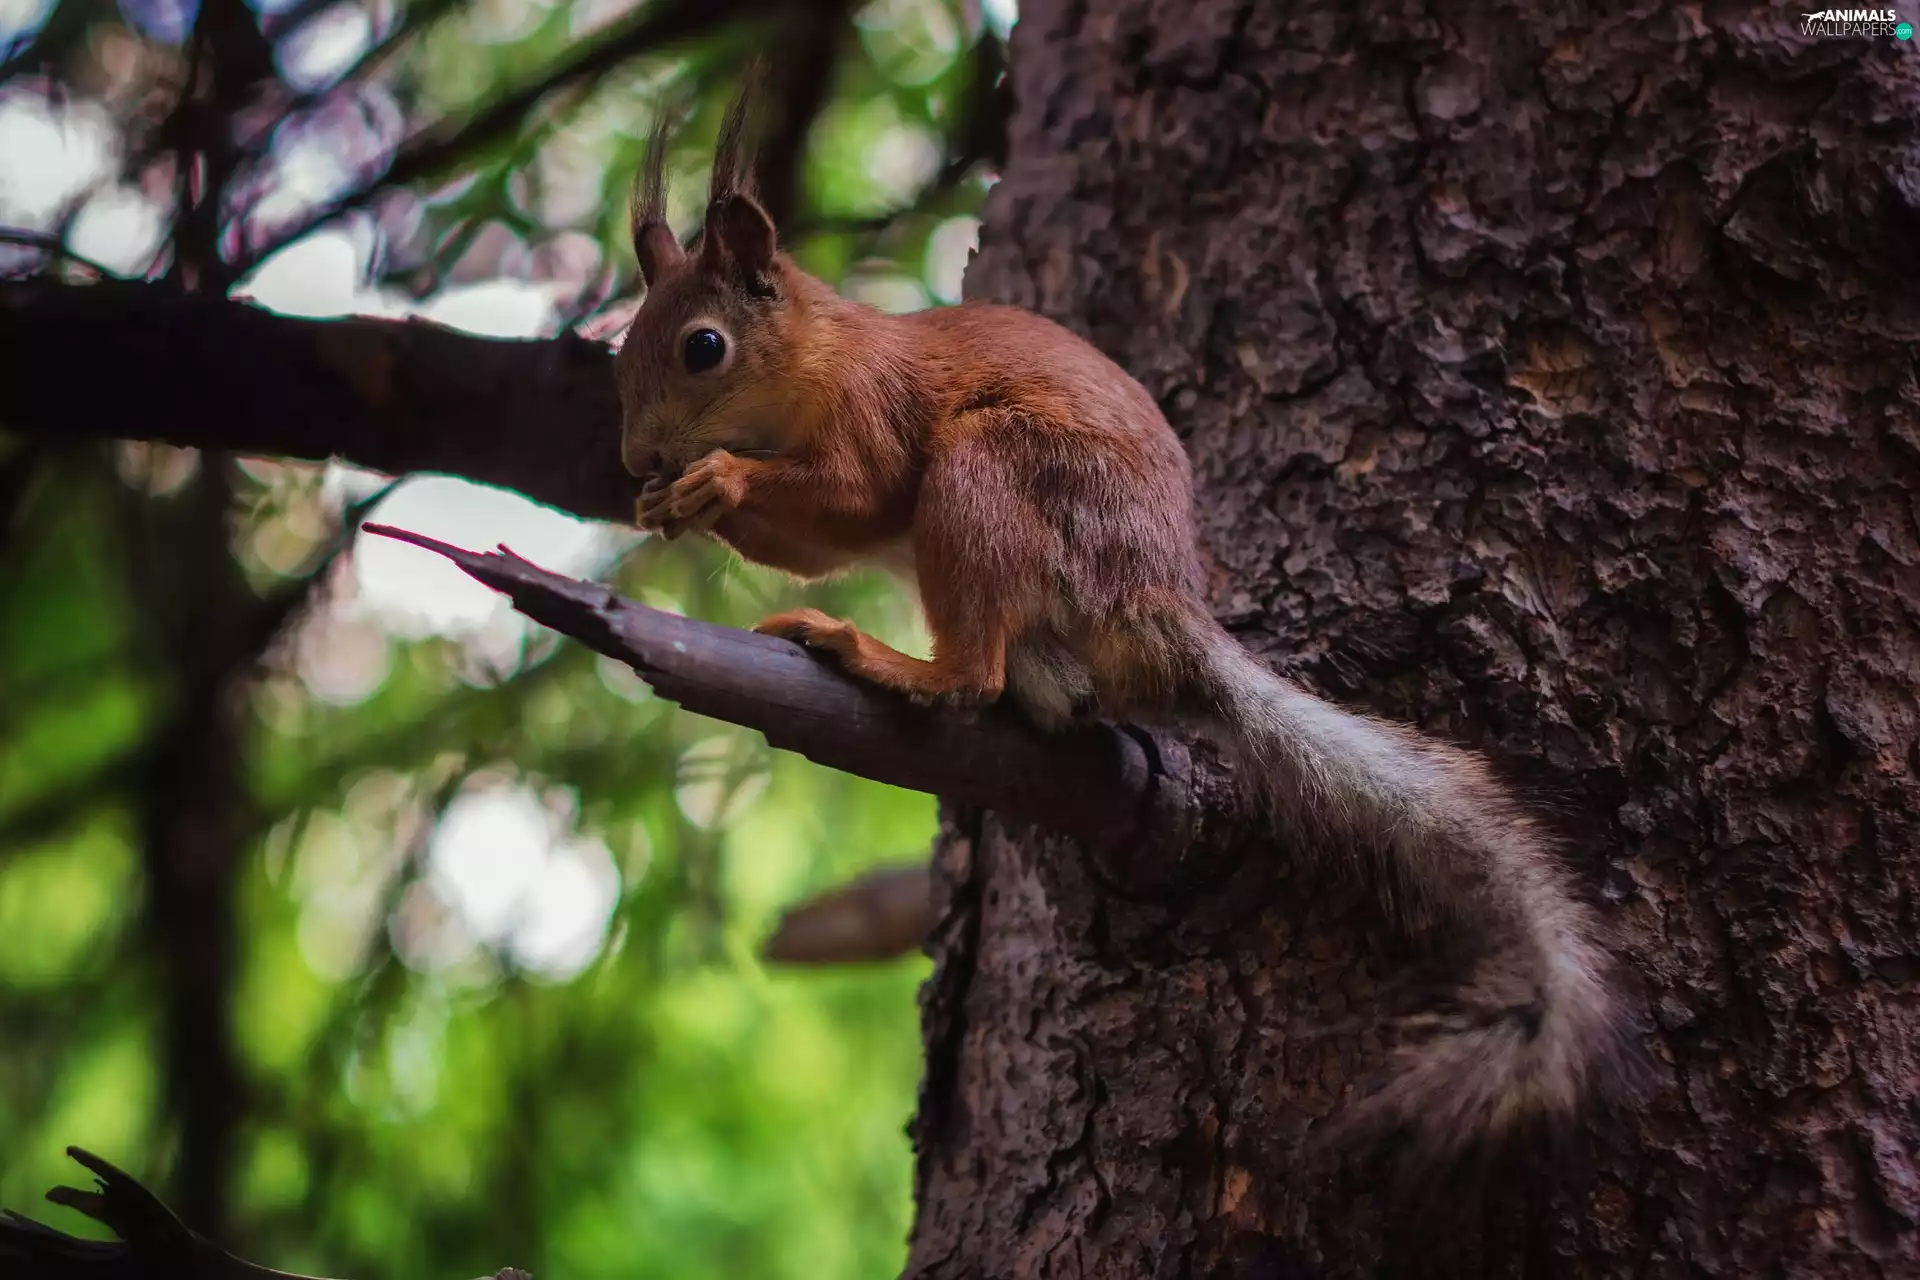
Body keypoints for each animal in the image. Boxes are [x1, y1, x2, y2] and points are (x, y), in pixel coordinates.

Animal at [611, 72, 1630, 1170]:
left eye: (703, 347)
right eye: (619, 350)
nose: (636, 459)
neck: (817, 353)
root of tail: (1157, 612)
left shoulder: (873, 414)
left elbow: (853, 497)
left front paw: (715, 479)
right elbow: (814, 543)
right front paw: (666, 504)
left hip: (994, 471)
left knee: (971, 673)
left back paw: (883, 658)